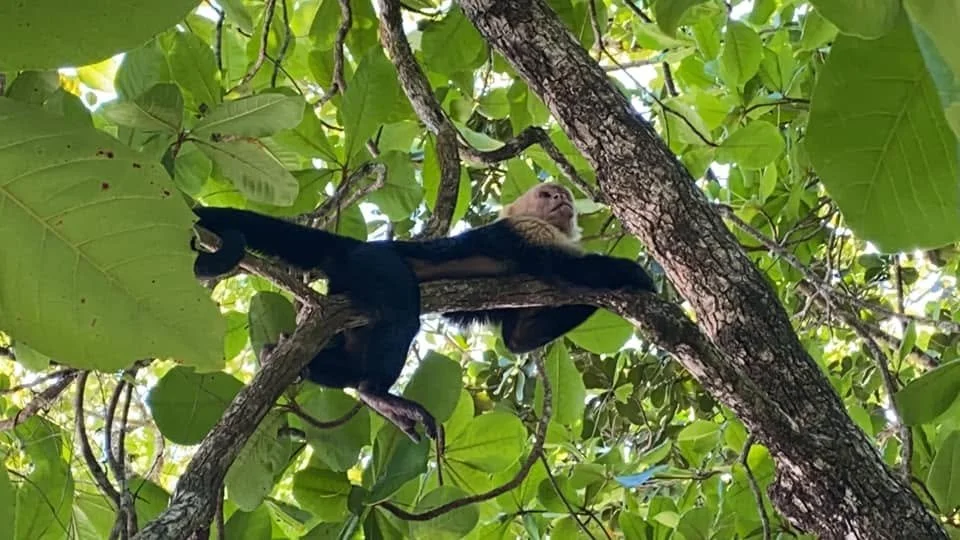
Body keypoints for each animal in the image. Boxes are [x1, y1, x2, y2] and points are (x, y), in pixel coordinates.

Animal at [191, 183, 655, 444]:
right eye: (547, 195)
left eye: (563, 197)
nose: (561, 199)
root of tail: (354, 247)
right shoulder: (526, 232)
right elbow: (566, 270)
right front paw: (637, 273)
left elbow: (518, 338)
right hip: (373, 266)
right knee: (401, 316)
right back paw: (375, 393)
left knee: (345, 362)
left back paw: (281, 355)